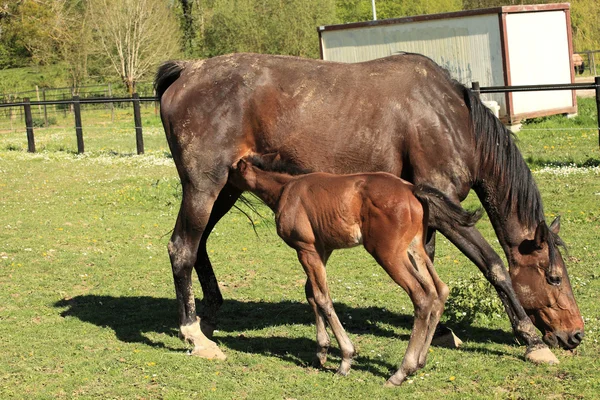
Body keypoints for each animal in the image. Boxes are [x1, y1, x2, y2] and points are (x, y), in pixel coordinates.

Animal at [227, 155, 480, 386]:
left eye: (231, 171)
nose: (223, 189)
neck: (286, 189)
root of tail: (411, 189)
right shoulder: (322, 249)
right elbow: (312, 294)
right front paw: (322, 351)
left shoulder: (306, 248)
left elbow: (322, 298)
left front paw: (345, 360)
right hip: (415, 249)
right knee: (439, 290)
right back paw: (419, 362)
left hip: (388, 254)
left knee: (422, 296)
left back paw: (401, 372)